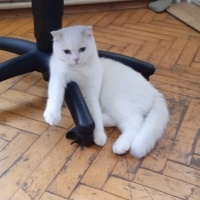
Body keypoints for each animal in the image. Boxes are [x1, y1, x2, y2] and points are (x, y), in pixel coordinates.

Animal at [43, 25, 169, 159]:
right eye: (66, 51)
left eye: (82, 49)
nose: (76, 59)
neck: (79, 69)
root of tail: (155, 92)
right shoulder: (58, 77)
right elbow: (56, 94)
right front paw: (52, 115)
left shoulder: (91, 93)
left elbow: (95, 114)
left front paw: (99, 136)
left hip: (117, 102)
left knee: (135, 123)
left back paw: (120, 145)